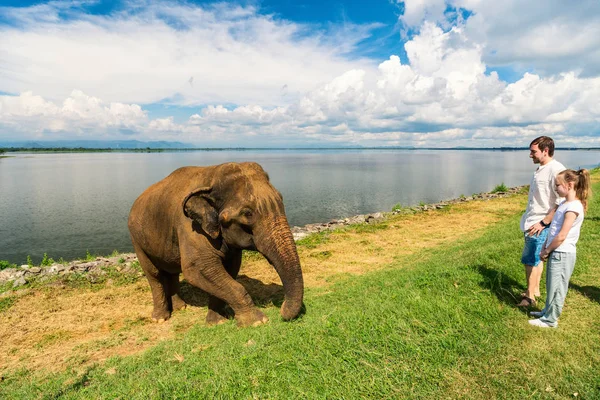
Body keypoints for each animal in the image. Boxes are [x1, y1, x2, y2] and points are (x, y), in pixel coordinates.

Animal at [127, 161, 304, 326]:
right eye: (247, 213)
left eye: (281, 200)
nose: (282, 310)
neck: (212, 175)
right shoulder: (191, 227)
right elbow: (198, 268)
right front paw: (257, 321)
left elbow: (229, 268)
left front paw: (216, 321)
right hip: (136, 240)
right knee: (154, 274)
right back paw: (160, 318)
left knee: (172, 272)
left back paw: (180, 307)